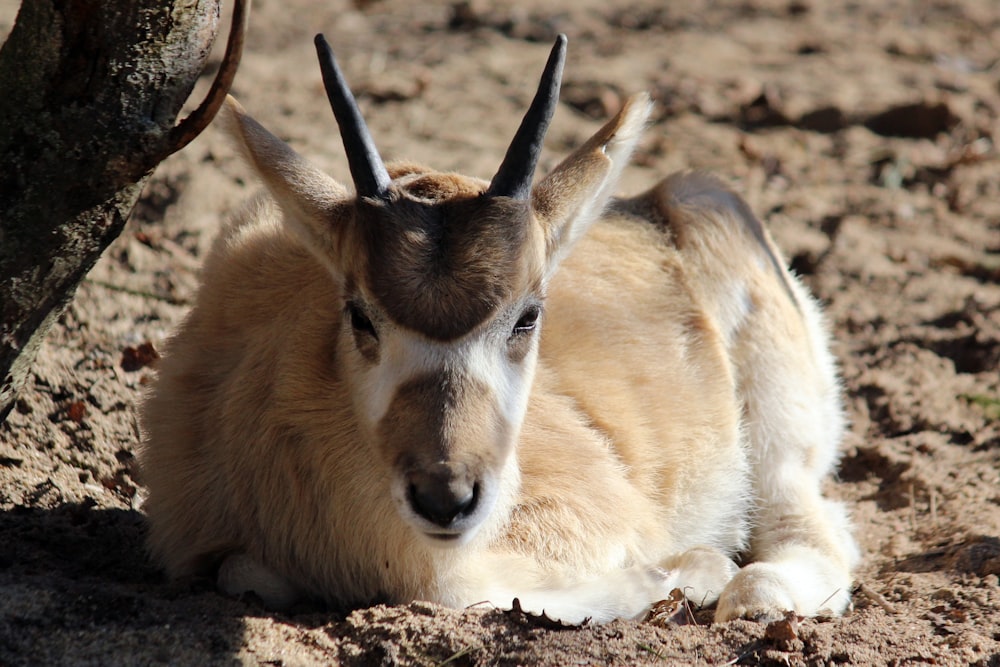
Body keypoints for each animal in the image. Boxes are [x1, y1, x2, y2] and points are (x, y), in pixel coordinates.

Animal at [139, 34, 860, 624]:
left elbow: (452, 588)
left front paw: (689, 571)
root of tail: (656, 204)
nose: (446, 497)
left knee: (817, 529)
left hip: (776, 442)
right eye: (361, 314)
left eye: (528, 314)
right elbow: (243, 570)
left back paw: (754, 593)